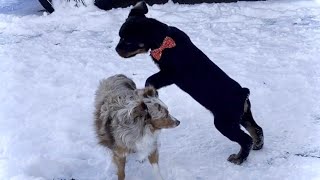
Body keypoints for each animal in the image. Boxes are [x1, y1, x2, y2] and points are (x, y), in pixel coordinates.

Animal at [116, 1, 264, 165]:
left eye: (128, 41)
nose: (116, 50)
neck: (163, 39)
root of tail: (243, 93)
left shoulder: (170, 74)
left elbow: (150, 79)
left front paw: (152, 91)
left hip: (225, 122)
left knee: (246, 139)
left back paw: (239, 158)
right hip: (242, 116)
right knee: (256, 128)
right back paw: (258, 145)